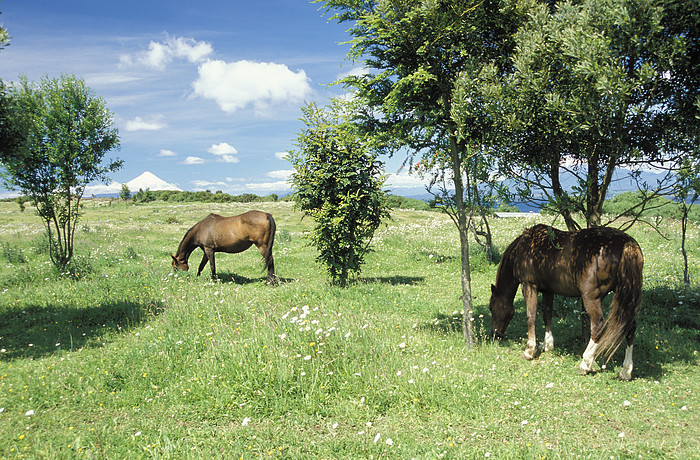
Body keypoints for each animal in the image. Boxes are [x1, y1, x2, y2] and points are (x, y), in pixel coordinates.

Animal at [490, 225, 644, 380]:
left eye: (492, 308)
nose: (495, 334)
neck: (525, 246)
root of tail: (627, 243)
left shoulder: (528, 285)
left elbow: (531, 317)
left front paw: (529, 351)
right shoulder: (548, 290)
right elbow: (547, 315)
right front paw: (547, 344)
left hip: (591, 298)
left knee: (598, 326)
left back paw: (585, 364)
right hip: (625, 298)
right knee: (630, 327)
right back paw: (626, 371)